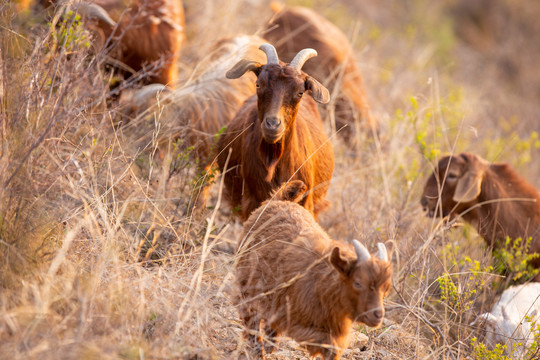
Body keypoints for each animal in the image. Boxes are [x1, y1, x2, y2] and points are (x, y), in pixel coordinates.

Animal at [236, 180, 392, 360]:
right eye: (358, 283)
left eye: (386, 288)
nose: (378, 315)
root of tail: (279, 200)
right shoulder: (296, 320)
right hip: (247, 281)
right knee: (249, 313)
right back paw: (257, 348)